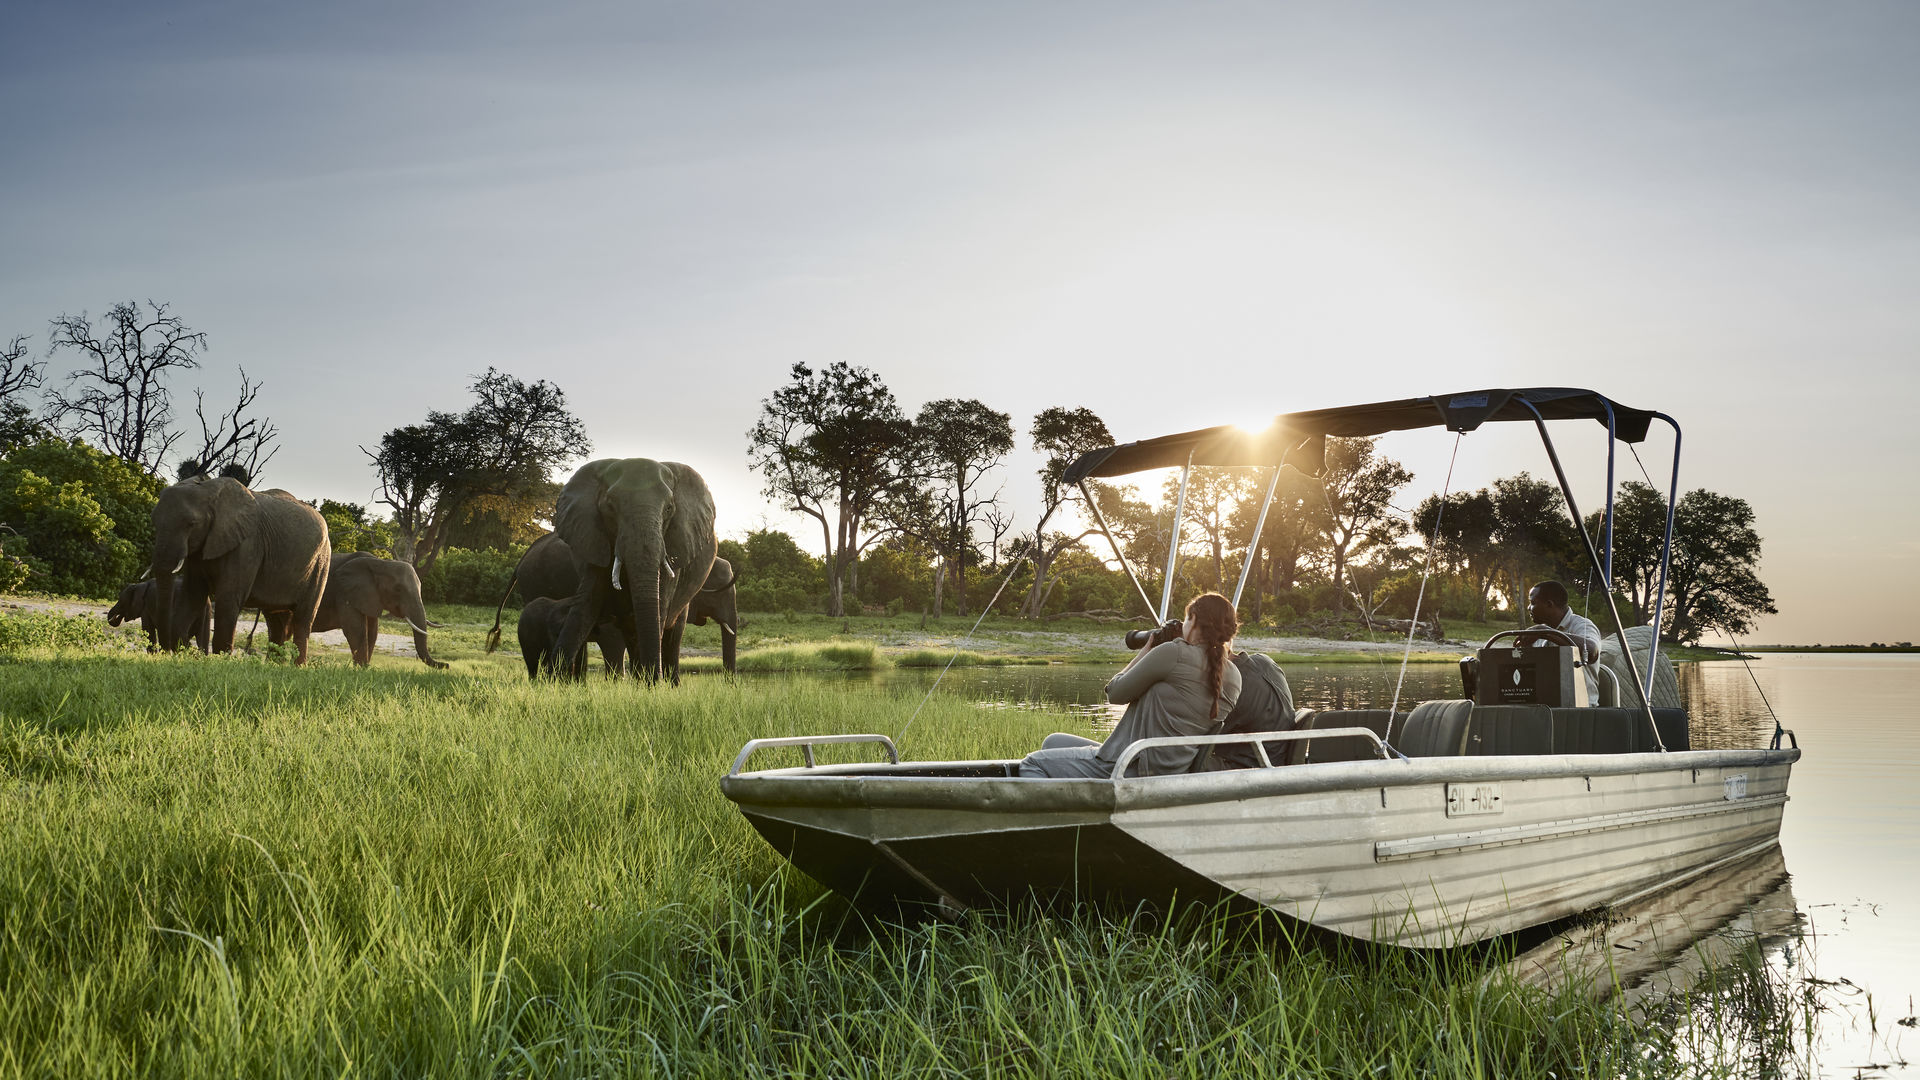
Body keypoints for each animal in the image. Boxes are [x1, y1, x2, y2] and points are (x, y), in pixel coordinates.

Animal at [149, 474, 330, 661]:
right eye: (153, 521)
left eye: (191, 523)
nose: (166, 652)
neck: (208, 489)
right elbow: (193, 595)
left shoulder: (247, 546)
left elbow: (228, 598)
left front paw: (219, 660)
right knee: (276, 621)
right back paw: (274, 664)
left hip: (320, 564)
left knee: (303, 619)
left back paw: (297, 664)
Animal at [264, 553, 447, 664]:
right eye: (398, 589)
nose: (446, 665)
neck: (380, 564)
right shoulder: (345, 591)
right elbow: (355, 630)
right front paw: (362, 668)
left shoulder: (370, 597)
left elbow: (372, 631)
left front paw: (365, 668)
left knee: (281, 630)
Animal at [556, 455, 721, 680]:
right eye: (610, 506)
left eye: (669, 508)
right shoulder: (594, 539)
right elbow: (586, 605)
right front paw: (550, 678)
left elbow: (659, 608)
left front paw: (652, 683)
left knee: (671, 633)